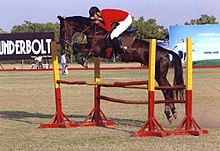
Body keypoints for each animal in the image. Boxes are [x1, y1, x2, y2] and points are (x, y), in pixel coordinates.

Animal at [57, 15, 185, 122]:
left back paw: (169, 113)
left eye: (63, 30)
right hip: (159, 75)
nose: (62, 44)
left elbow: (76, 46)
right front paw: (80, 60)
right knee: (168, 89)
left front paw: (82, 61)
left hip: (159, 74)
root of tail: (166, 52)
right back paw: (172, 112)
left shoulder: (95, 50)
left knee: (167, 89)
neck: (95, 31)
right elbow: (76, 46)